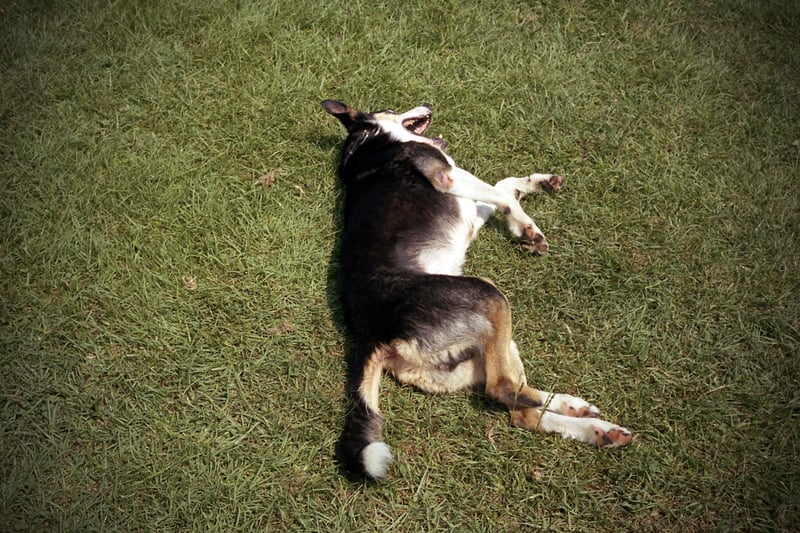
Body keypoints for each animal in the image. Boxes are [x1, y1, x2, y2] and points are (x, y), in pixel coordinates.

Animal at [320, 98, 632, 478]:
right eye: (391, 108)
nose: (428, 102)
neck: (374, 139)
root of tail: (372, 334)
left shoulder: (470, 206)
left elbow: (505, 185)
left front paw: (539, 185)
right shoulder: (447, 177)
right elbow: (502, 193)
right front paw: (526, 227)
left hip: (488, 342)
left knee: (520, 410)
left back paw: (590, 423)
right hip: (488, 295)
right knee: (502, 390)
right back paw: (578, 413)